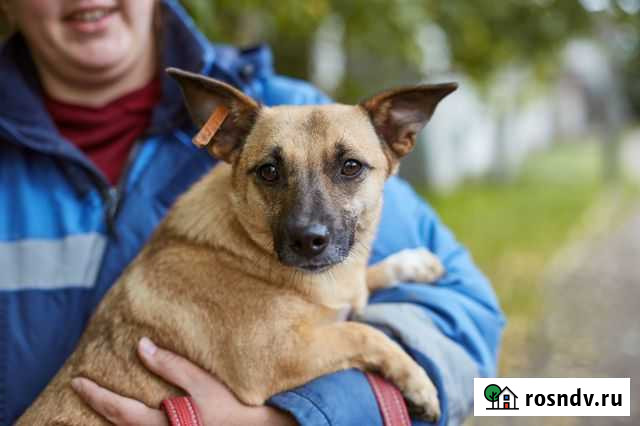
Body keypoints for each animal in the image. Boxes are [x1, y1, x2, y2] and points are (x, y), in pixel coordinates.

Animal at [17, 68, 458, 424]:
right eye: (269, 171)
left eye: (350, 166)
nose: (308, 241)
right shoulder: (278, 356)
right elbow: (363, 333)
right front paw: (419, 383)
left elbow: (367, 284)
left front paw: (415, 263)